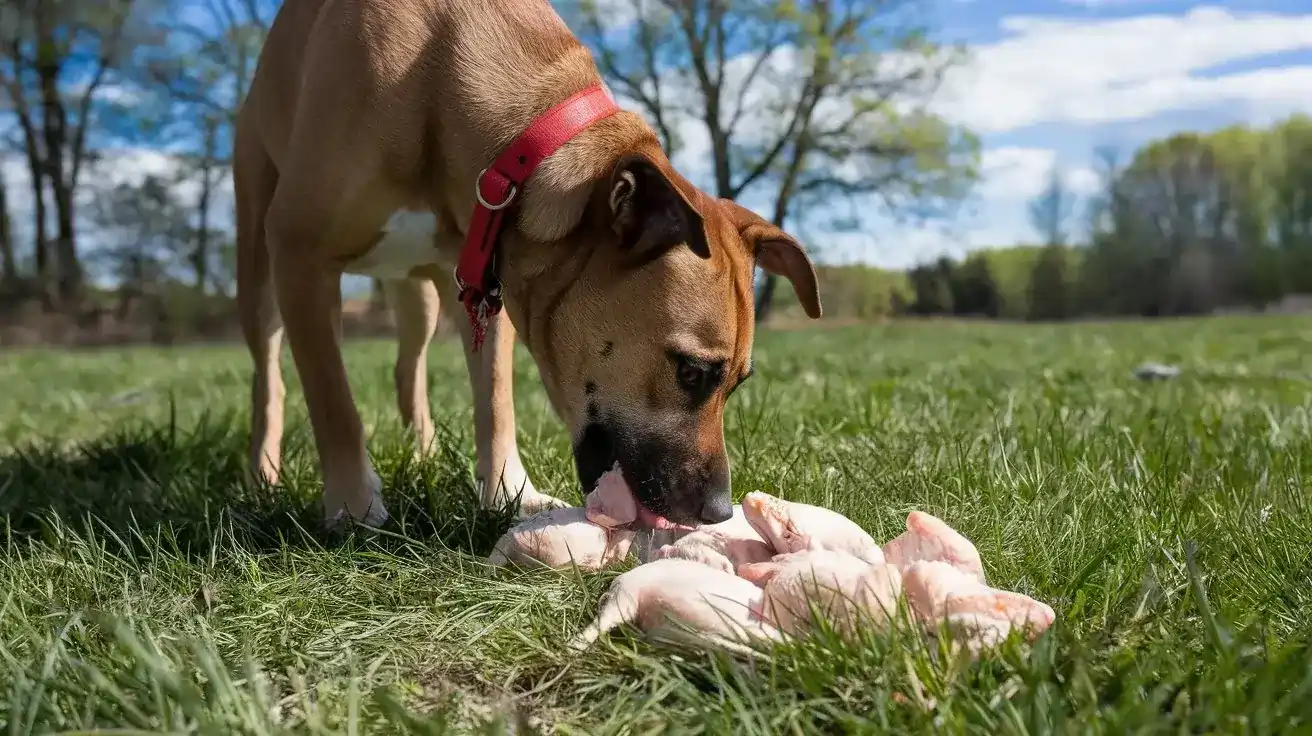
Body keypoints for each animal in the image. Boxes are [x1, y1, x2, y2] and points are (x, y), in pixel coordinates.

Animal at [230, 0, 813, 527]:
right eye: (691, 372)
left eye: (737, 383)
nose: (719, 512)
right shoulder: (300, 253)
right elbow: (334, 403)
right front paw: (352, 507)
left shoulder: (485, 272)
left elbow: (495, 399)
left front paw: (509, 493)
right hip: (260, 269)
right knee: (268, 379)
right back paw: (262, 476)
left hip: (418, 294)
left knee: (406, 367)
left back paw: (423, 451)